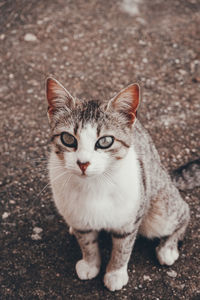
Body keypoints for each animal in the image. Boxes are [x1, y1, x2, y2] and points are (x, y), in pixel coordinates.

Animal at [45, 77, 191, 290]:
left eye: (105, 141)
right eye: (68, 138)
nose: (83, 163)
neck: (94, 185)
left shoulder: (129, 219)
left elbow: (123, 248)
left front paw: (115, 273)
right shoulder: (79, 216)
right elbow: (87, 242)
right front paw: (90, 264)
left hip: (159, 210)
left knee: (183, 212)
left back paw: (168, 248)